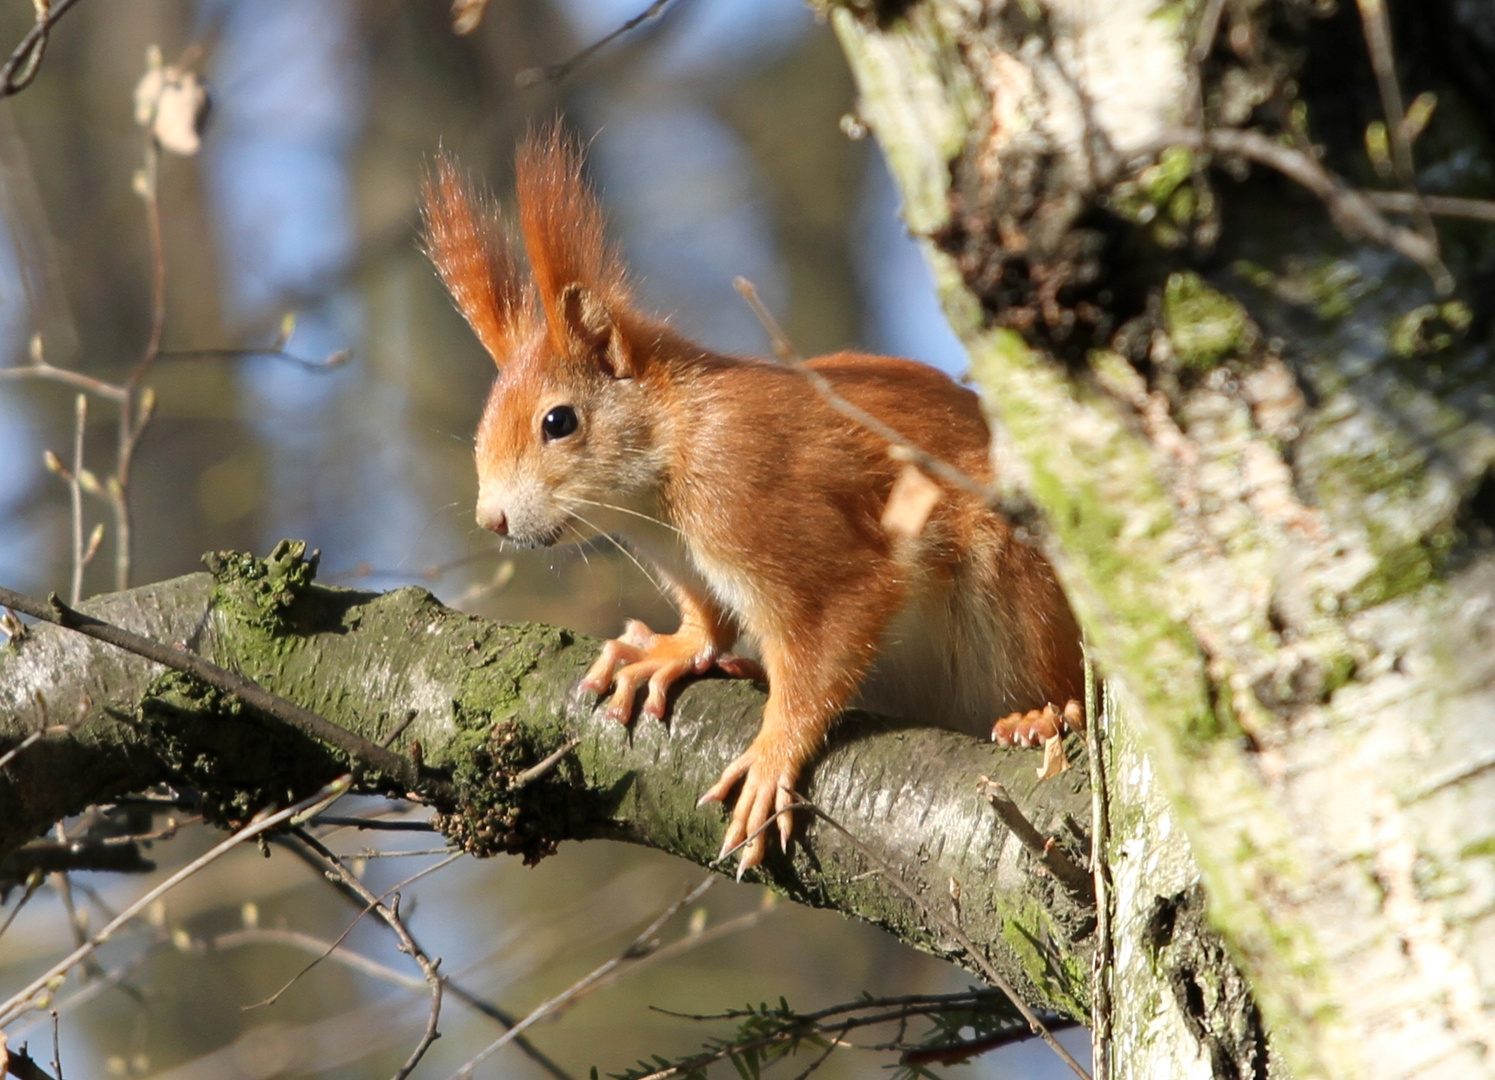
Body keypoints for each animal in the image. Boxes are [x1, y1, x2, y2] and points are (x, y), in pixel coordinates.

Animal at [421, 128, 1088, 867]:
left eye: (558, 421)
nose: (492, 518)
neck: (667, 471)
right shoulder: (682, 560)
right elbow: (707, 619)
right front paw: (670, 649)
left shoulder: (754, 498)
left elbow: (834, 623)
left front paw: (771, 756)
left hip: (1019, 587)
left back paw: (1042, 715)